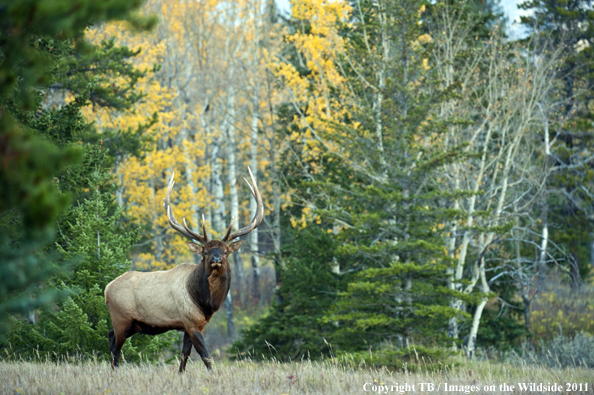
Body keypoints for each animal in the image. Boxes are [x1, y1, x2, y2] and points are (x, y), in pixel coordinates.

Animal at [104, 167, 262, 372]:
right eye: (205, 251)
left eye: (226, 251)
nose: (216, 259)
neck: (206, 303)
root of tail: (106, 289)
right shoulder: (191, 322)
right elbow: (205, 356)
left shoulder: (191, 325)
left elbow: (184, 355)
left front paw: (180, 374)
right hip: (121, 318)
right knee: (116, 346)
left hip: (132, 324)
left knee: (110, 336)